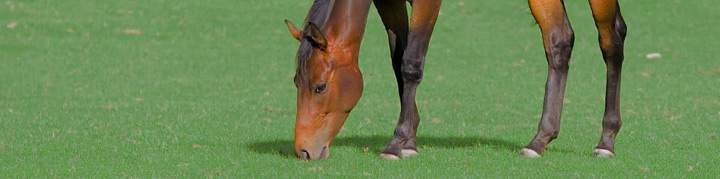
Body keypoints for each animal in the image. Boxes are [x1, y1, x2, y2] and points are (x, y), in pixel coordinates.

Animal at [284, 0, 628, 159]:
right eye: (296, 84)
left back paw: (606, 140)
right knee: (559, 41)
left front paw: (397, 142)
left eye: (319, 86)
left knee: (611, 41)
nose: (304, 151)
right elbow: (399, 60)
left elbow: (412, 63)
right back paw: (539, 140)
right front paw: (410, 139)